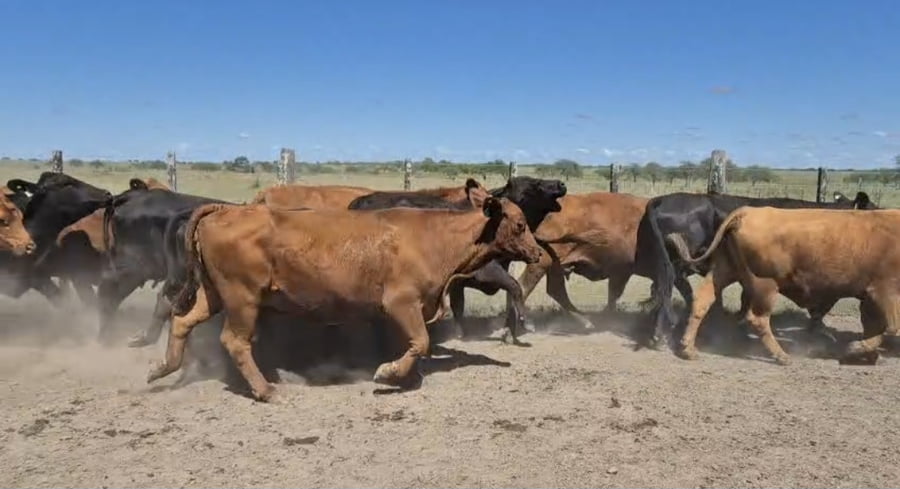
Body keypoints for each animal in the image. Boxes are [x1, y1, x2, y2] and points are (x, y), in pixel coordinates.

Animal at [147, 197, 543, 401]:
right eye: (520, 224)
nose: (538, 251)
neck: (434, 237)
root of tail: (225, 209)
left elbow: (410, 344)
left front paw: (402, 375)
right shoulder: (402, 302)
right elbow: (420, 341)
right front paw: (388, 373)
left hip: (213, 294)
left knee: (182, 321)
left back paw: (163, 367)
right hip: (243, 297)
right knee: (235, 341)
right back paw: (266, 390)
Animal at [348, 176, 567, 344]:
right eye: (535, 185)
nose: (561, 184)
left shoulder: (457, 283)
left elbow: (459, 306)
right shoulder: (486, 272)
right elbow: (515, 286)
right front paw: (525, 322)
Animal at [676, 206, 900, 365]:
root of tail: (747, 211)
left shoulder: (869, 298)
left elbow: (874, 327)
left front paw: (865, 354)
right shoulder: (884, 292)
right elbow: (891, 328)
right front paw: (855, 348)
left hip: (724, 271)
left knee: (702, 302)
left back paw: (687, 348)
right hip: (765, 286)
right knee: (757, 319)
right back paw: (781, 356)